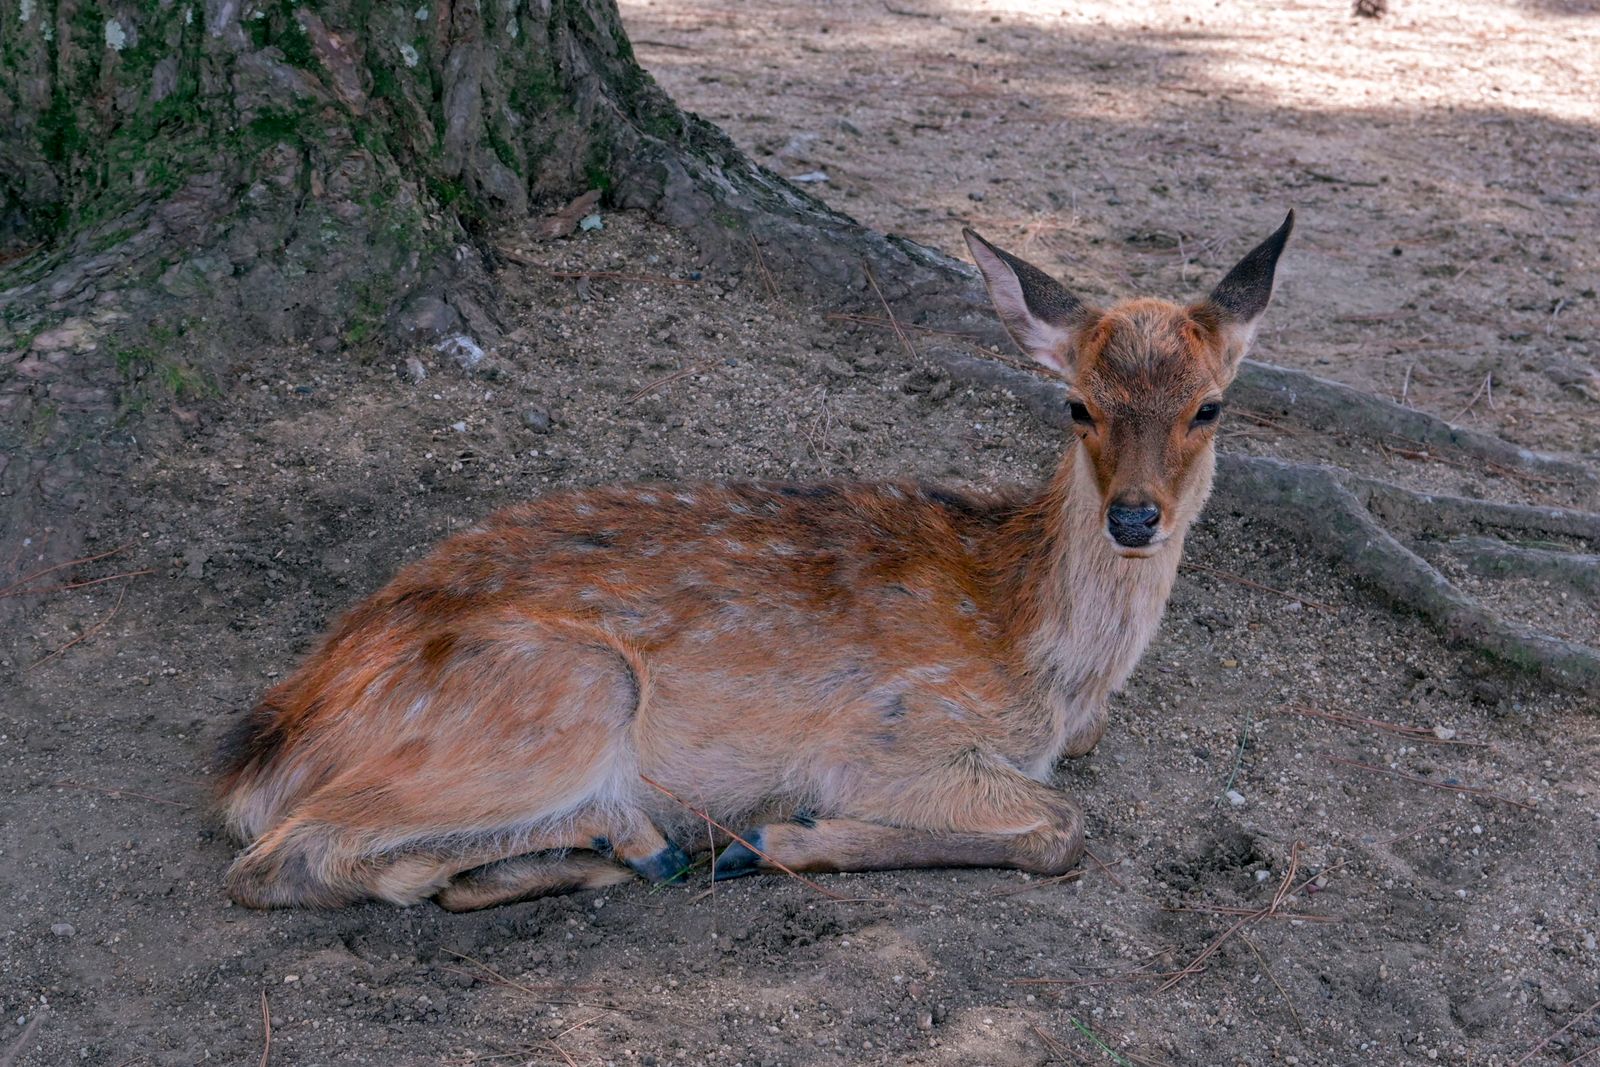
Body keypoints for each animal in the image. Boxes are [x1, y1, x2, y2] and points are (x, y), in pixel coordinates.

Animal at [216, 212, 1293, 910]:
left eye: (1209, 405)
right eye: (1077, 404)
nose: (1134, 518)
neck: (1049, 662)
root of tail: (264, 745)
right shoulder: (890, 734)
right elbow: (1063, 827)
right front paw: (784, 835)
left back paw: (621, 849)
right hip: (566, 687)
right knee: (282, 857)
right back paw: (645, 837)